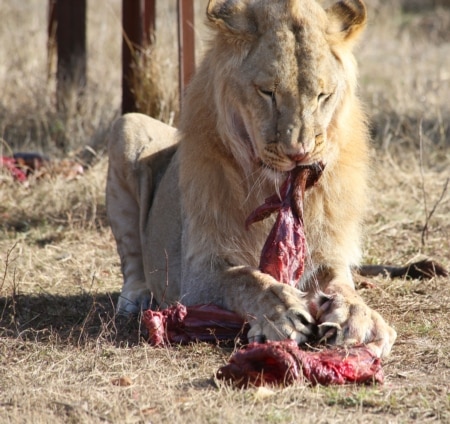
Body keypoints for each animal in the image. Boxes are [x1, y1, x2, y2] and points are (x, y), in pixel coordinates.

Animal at [106, 0, 396, 357]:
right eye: (267, 92)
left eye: (322, 96)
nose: (298, 153)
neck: (272, 191)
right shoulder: (196, 271)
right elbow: (245, 279)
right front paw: (281, 312)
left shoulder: (324, 253)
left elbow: (341, 284)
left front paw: (358, 317)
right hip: (128, 126)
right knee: (133, 262)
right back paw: (136, 298)